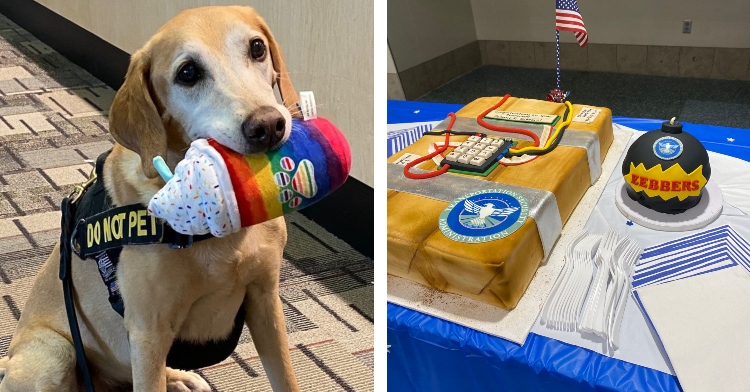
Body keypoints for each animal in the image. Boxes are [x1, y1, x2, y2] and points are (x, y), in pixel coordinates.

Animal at [0, 6, 300, 392]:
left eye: (257, 47)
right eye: (188, 73)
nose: (268, 126)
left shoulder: (265, 301)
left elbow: (286, 378)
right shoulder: (148, 333)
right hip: (54, 353)